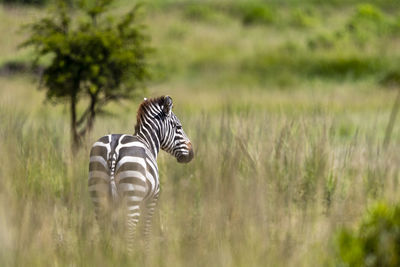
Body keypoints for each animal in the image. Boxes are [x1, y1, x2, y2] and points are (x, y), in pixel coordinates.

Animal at [88, 97, 194, 253]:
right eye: (178, 127)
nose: (192, 154)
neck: (147, 142)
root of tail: (114, 149)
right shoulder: (152, 198)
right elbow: (146, 229)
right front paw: (146, 252)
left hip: (98, 193)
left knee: (103, 226)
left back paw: (104, 254)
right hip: (132, 196)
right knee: (130, 228)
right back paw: (129, 255)